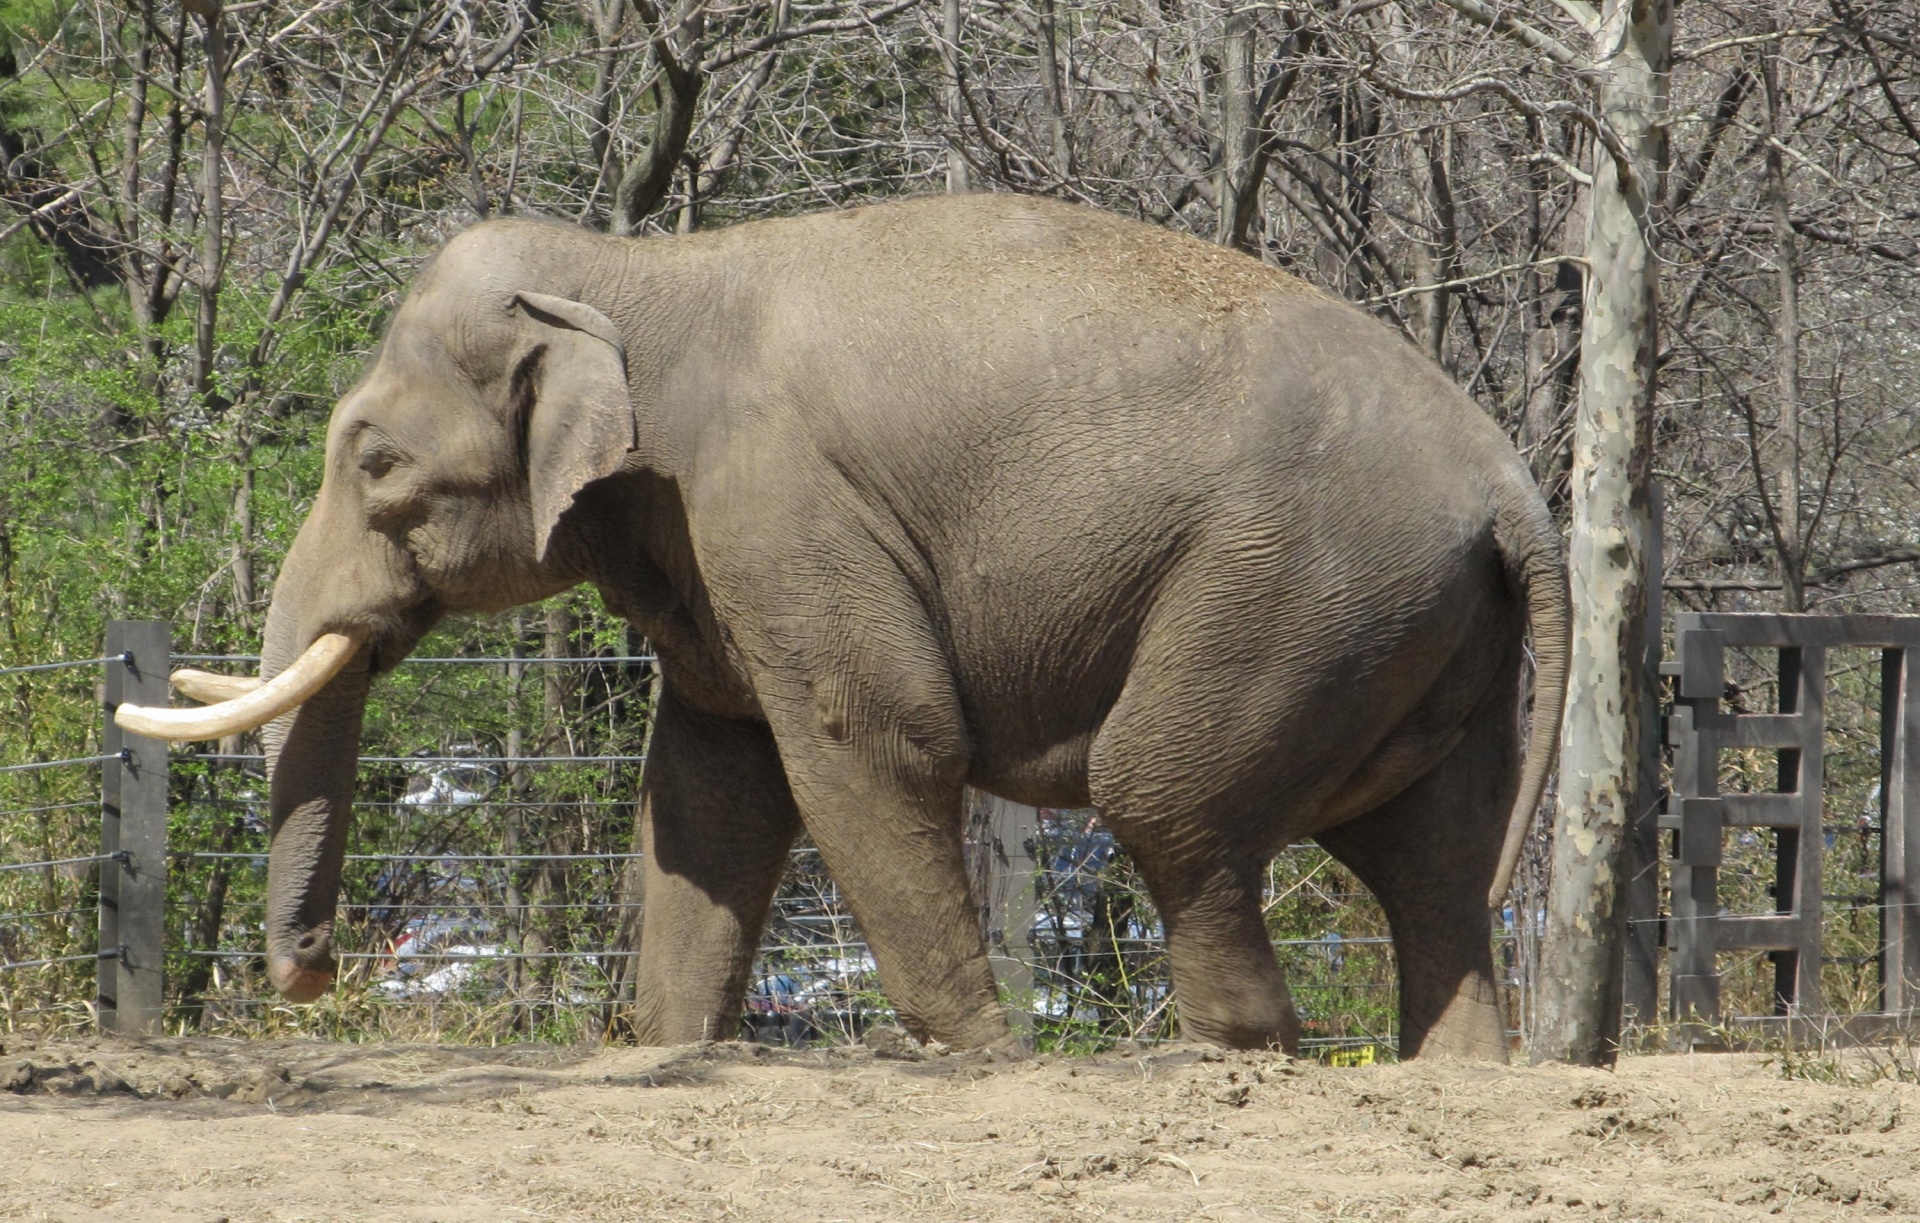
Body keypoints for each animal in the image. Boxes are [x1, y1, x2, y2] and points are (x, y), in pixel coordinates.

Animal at [116, 192, 1559, 1059]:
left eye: (374, 462)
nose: (308, 972)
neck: (635, 271)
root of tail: (1512, 483)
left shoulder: (778, 501)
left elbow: (872, 738)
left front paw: (980, 1056)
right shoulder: (709, 546)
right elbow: (708, 785)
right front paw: (673, 1048)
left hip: (1296, 587)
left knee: (1165, 791)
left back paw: (1232, 1053)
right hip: (1419, 628)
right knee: (1431, 857)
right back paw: (1457, 1066)